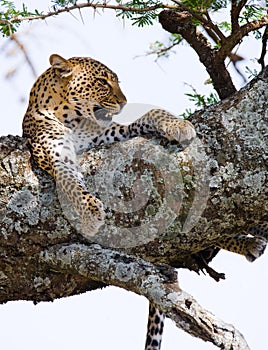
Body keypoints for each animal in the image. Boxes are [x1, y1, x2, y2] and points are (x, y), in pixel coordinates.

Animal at [22, 54, 266, 350]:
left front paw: (178, 125)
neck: (73, 118)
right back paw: (251, 244)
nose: (123, 102)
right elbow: (71, 183)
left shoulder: (109, 133)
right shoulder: (56, 156)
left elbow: (149, 115)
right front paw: (91, 213)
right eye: (102, 82)